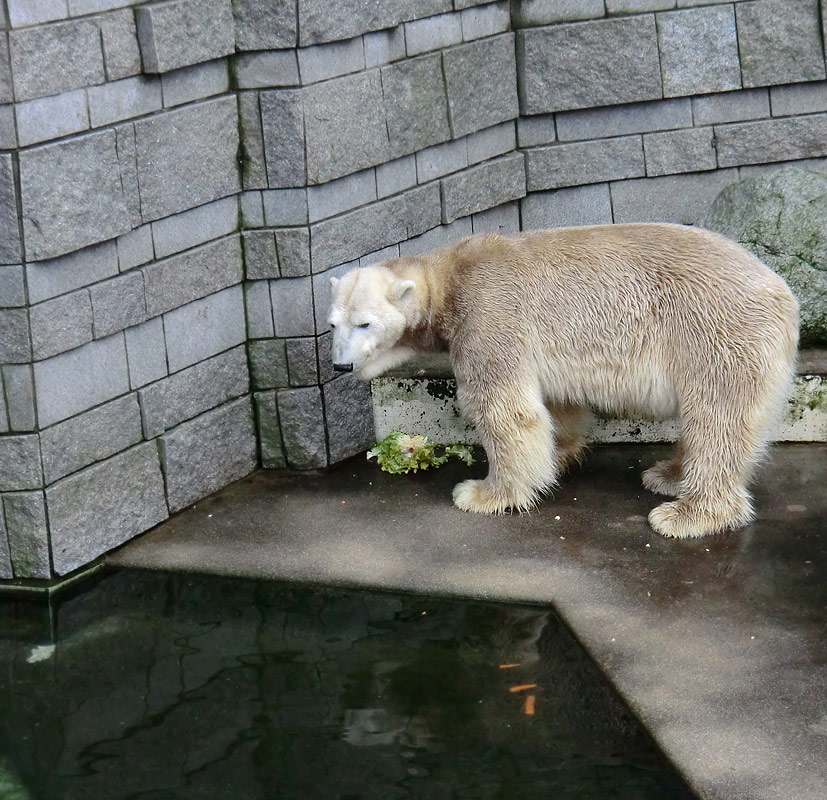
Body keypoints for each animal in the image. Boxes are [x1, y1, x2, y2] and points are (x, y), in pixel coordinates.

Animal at [326, 225, 800, 536]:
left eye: (365, 323)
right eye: (333, 324)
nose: (340, 367)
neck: (449, 277)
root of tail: (785, 297)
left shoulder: (487, 313)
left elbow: (504, 409)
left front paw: (481, 493)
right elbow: (555, 403)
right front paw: (558, 454)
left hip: (716, 332)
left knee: (717, 420)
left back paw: (685, 514)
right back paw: (668, 474)